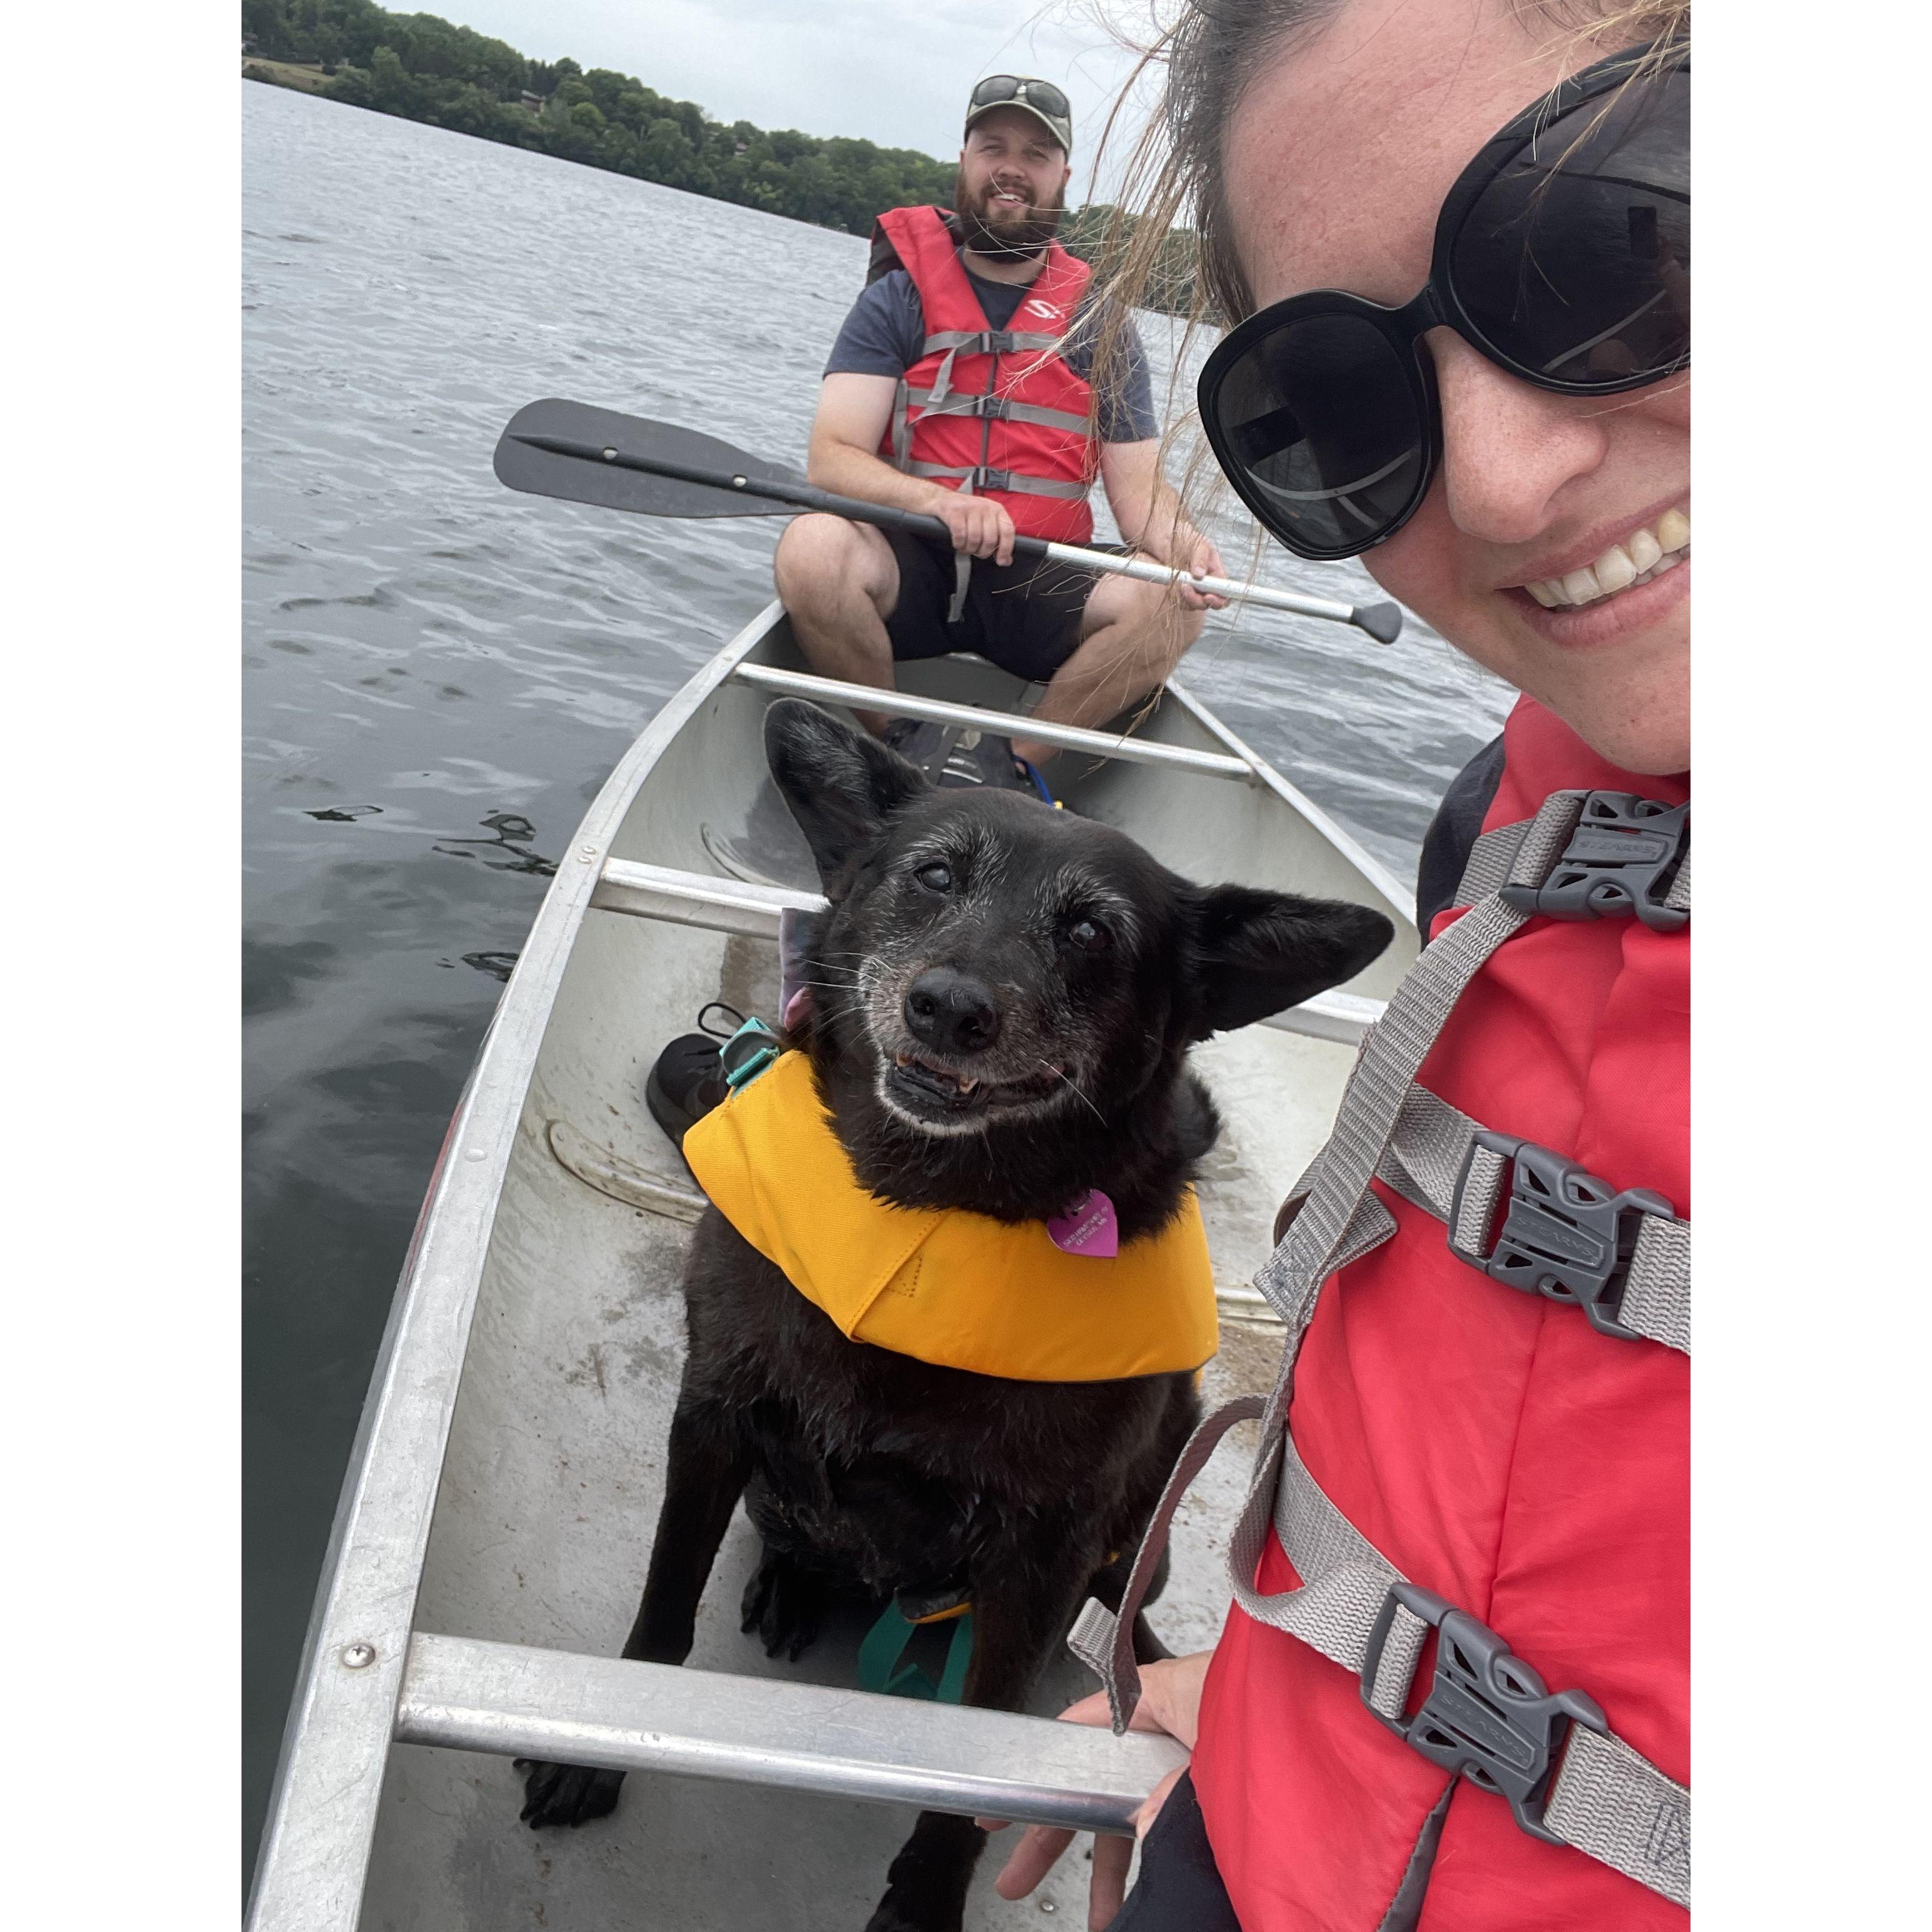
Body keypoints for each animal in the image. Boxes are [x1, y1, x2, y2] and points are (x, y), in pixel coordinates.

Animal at [514, 703, 1391, 1924]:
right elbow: (662, 1601)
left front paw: (926, 1898)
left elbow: (972, 1765)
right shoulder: (714, 1415)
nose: (949, 1008)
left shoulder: (1042, 1551)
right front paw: (589, 1752)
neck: (923, 1216)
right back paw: (791, 1586)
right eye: (933, 874)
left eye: (1093, 931)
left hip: (1137, 1540)